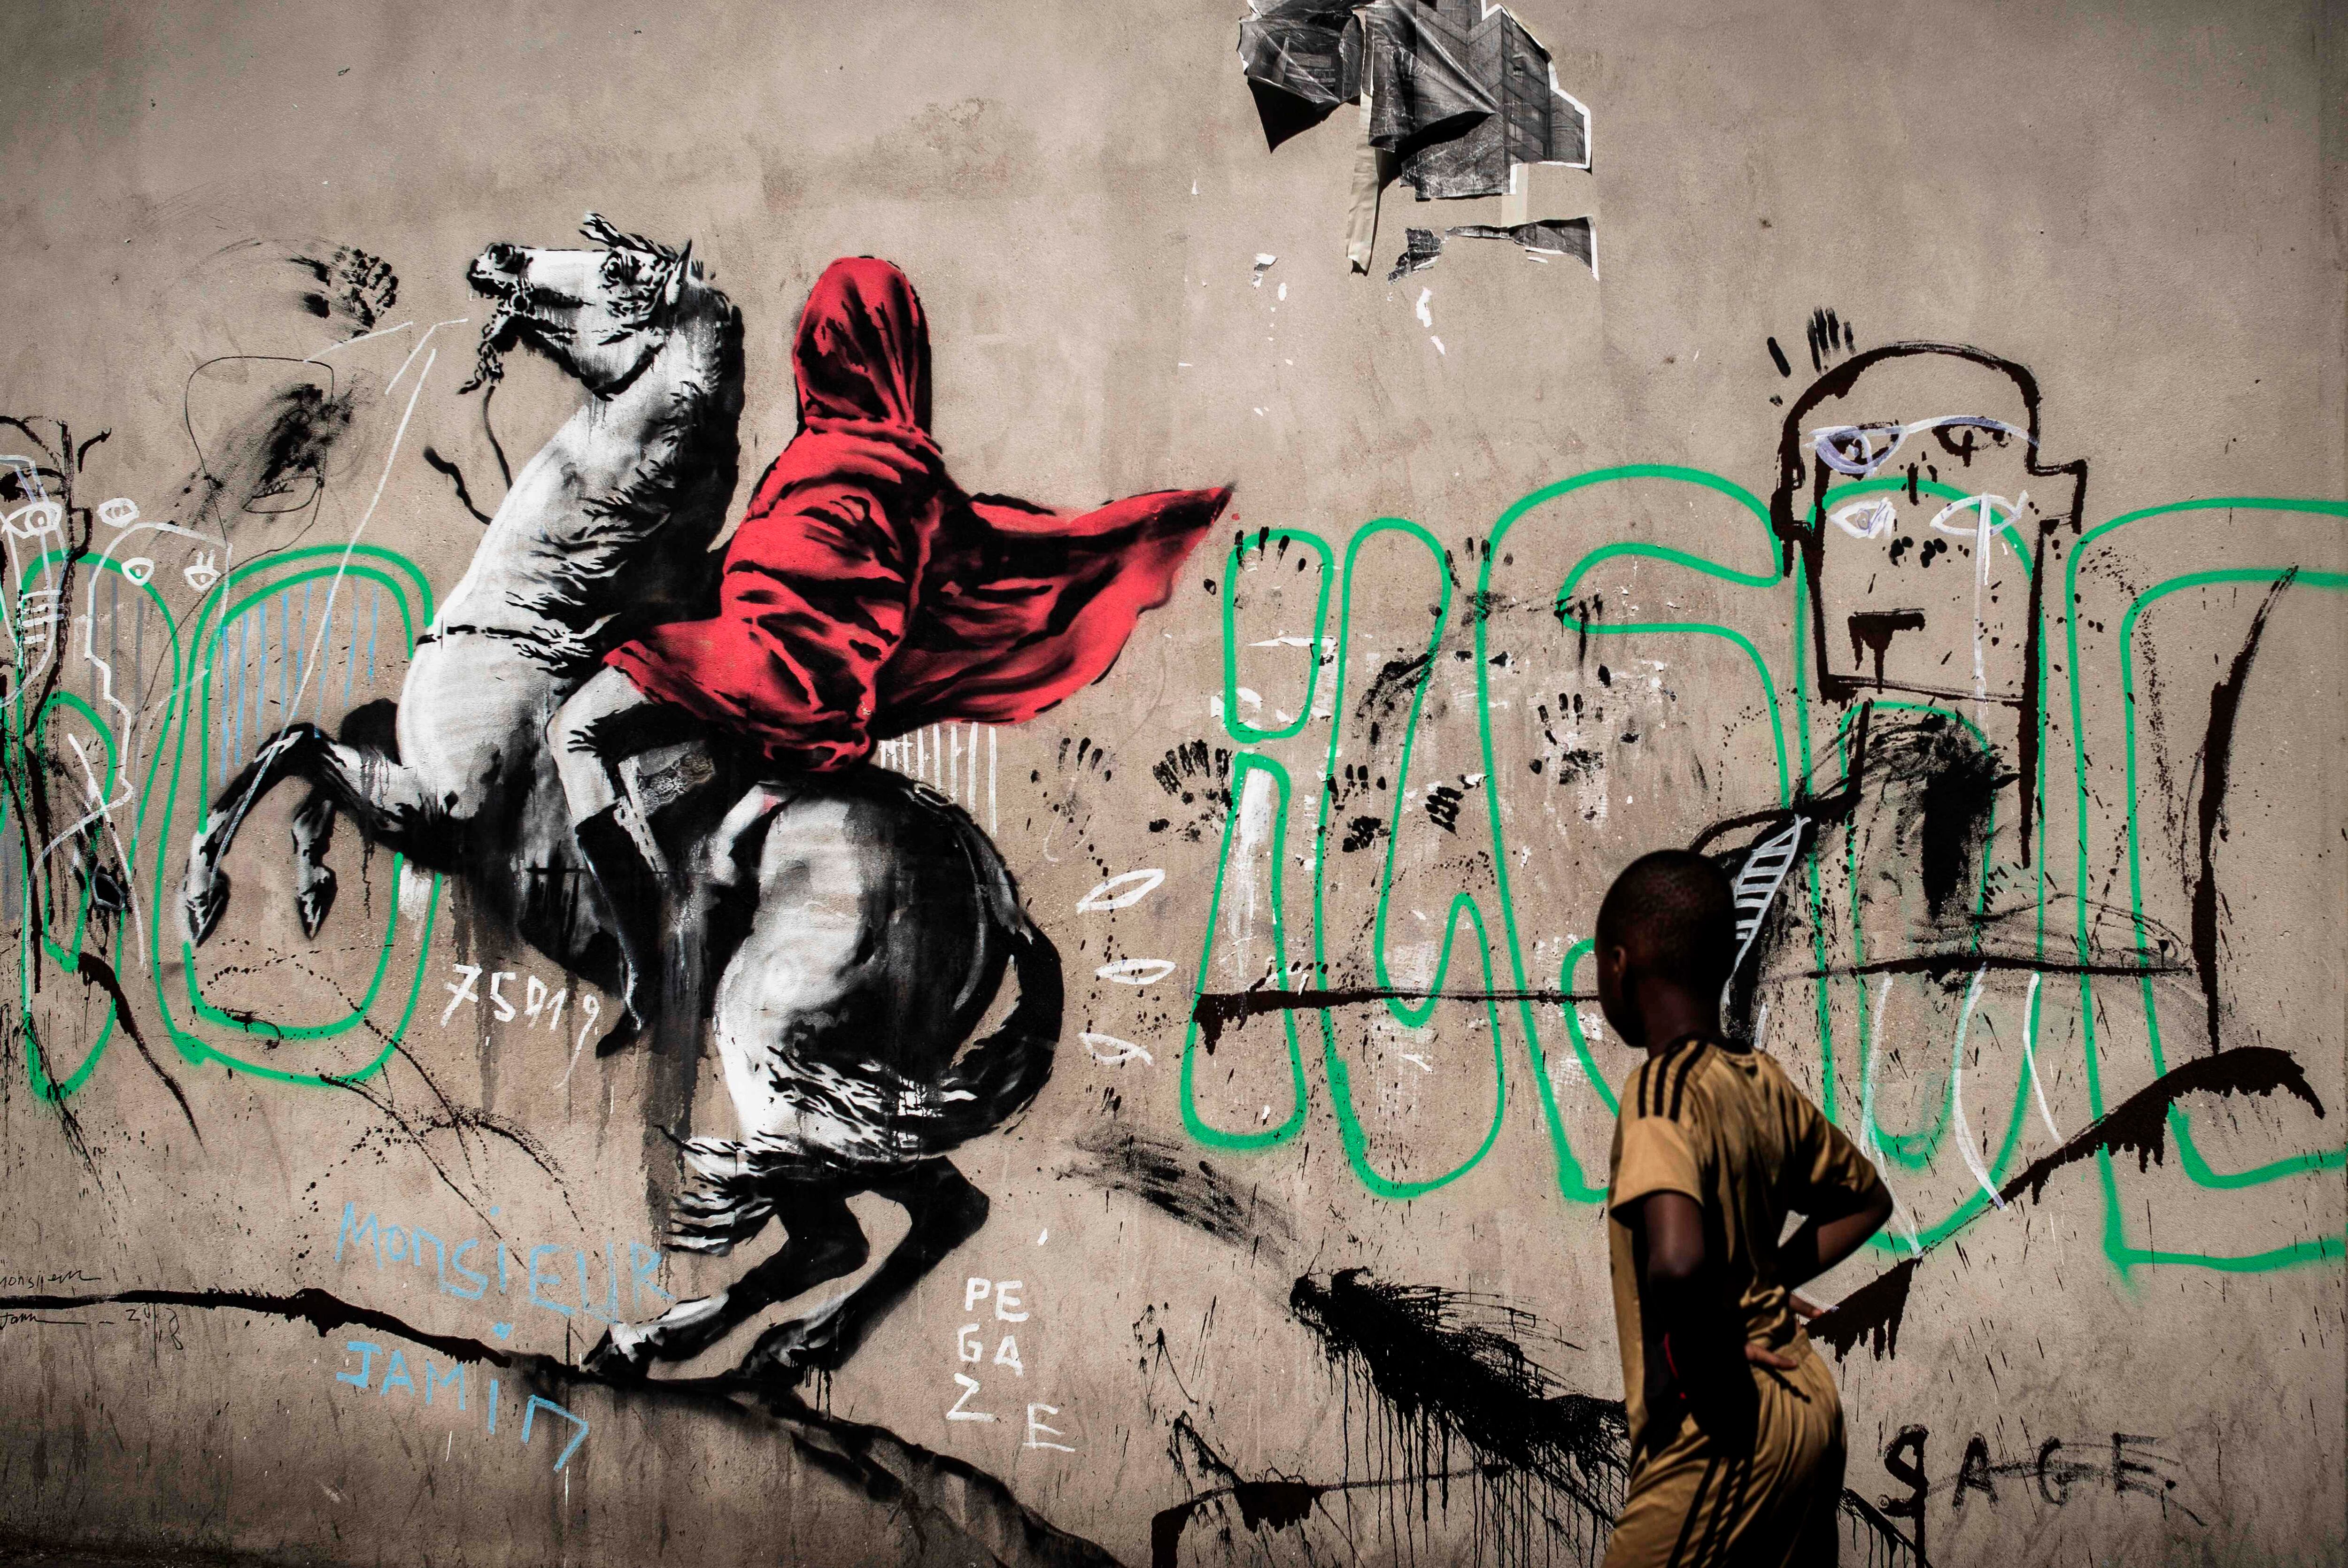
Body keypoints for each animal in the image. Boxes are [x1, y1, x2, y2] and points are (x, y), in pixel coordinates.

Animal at [177, 216, 1063, 1384]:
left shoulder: (434, 811)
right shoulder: (412, 784)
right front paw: (315, 878)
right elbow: (334, 733)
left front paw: (204, 895)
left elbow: (296, 746)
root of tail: (986, 884)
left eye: (616, 269)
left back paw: (679, 1337)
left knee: (847, 1222)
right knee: (915, 1212)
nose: (501, 256)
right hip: (855, 1089)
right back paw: (732, 1344)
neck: (537, 621)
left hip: (777, 1050)